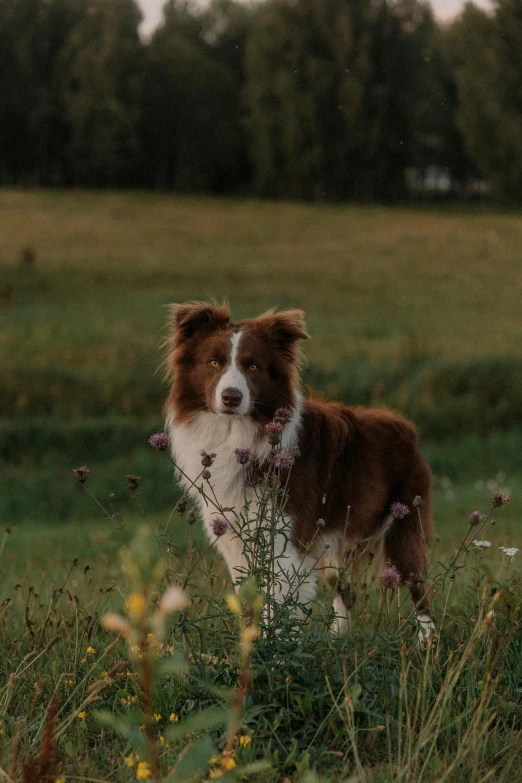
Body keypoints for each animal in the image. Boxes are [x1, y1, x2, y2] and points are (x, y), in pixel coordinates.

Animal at [165, 300, 432, 636]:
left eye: (253, 366)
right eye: (213, 362)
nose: (231, 398)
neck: (237, 431)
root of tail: (404, 425)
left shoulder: (286, 539)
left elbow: (278, 605)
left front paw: (274, 646)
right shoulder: (236, 539)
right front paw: (250, 641)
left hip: (405, 520)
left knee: (418, 585)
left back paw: (427, 642)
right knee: (344, 588)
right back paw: (340, 639)